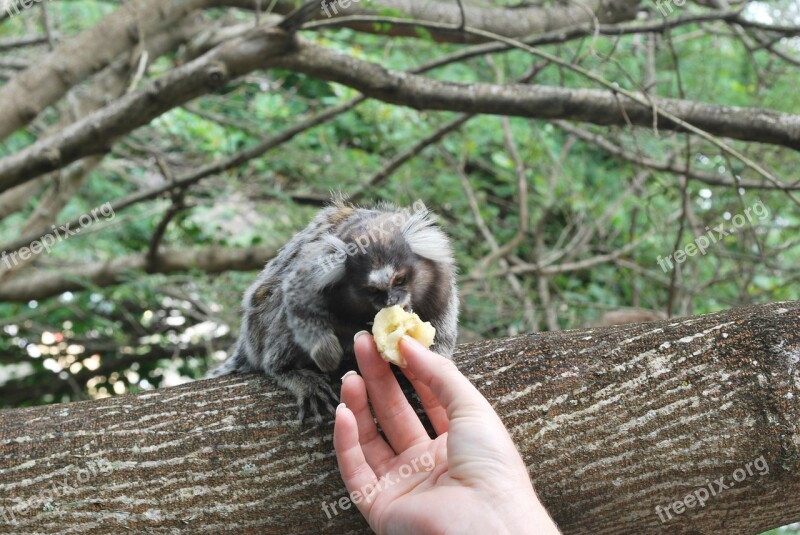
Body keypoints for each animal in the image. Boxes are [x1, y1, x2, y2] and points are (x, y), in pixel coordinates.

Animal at [203, 199, 460, 426]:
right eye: (373, 290)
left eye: (399, 280)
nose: (392, 301)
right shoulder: (309, 277)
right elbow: (292, 298)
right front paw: (327, 354)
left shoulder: (439, 283)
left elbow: (444, 319)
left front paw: (436, 355)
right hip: (258, 327)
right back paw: (287, 370)